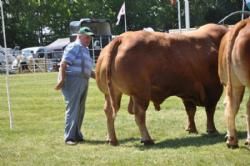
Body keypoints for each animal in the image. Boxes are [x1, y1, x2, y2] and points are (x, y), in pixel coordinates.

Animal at [95, 23, 229, 145]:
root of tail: (121, 38)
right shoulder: (213, 88)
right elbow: (210, 110)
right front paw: (212, 130)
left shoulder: (187, 90)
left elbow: (191, 110)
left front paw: (191, 129)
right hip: (141, 93)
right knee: (139, 114)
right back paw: (147, 139)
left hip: (111, 93)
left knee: (109, 111)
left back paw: (111, 139)